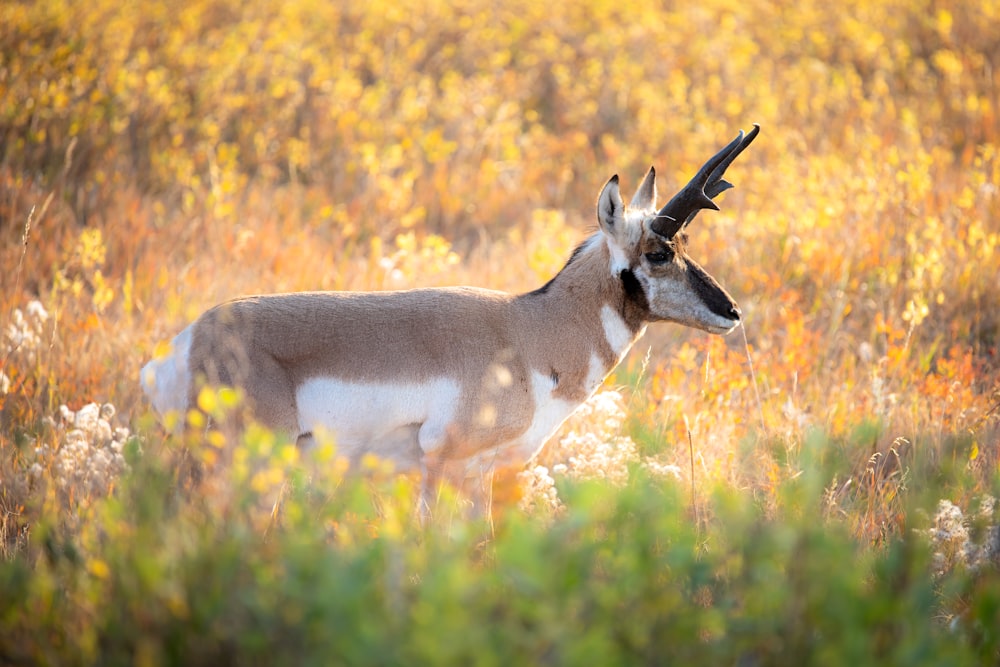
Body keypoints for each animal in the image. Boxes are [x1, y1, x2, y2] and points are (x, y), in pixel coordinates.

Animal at [141, 124, 760, 506]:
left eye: (683, 246)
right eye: (657, 252)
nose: (731, 311)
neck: (531, 330)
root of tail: (189, 341)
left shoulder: (485, 474)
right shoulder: (443, 464)